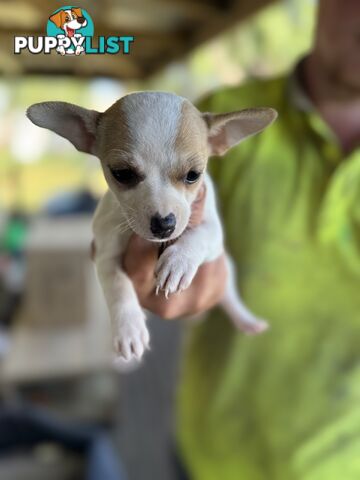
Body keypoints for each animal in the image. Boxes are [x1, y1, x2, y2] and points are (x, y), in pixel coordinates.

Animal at [27, 93, 276, 360]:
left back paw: (247, 320)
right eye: (122, 173)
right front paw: (129, 329)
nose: (164, 224)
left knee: (229, 296)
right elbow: (118, 286)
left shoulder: (215, 236)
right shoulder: (105, 254)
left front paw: (179, 262)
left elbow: (200, 235)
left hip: (226, 268)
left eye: (193, 175)